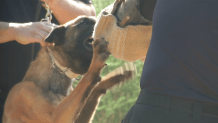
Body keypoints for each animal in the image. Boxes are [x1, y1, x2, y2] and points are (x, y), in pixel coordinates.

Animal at [2, 15, 133, 122]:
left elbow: (95, 88)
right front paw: (97, 59)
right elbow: (86, 79)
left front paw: (118, 75)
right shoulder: (56, 116)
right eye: (83, 22)